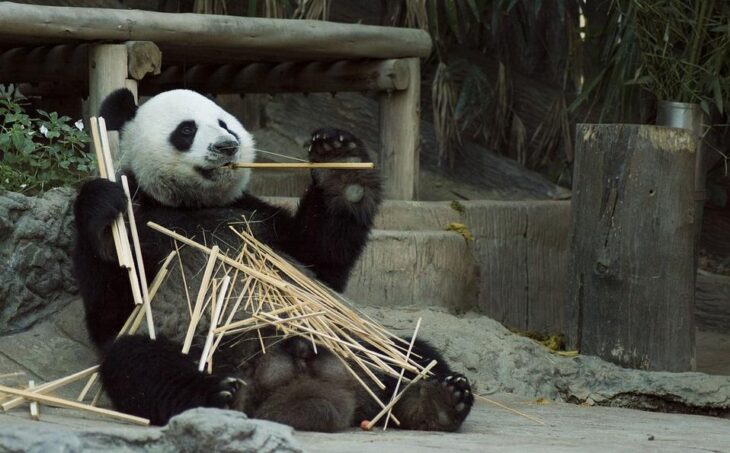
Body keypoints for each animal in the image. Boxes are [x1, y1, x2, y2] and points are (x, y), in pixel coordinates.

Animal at [72, 88, 473, 431]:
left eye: (224, 123)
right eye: (186, 130)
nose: (227, 146)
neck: (191, 204)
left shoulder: (257, 218)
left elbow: (321, 258)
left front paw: (340, 160)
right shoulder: (143, 221)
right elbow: (111, 309)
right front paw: (102, 205)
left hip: (352, 336)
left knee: (409, 352)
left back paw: (436, 399)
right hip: (207, 348)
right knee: (138, 363)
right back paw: (220, 396)